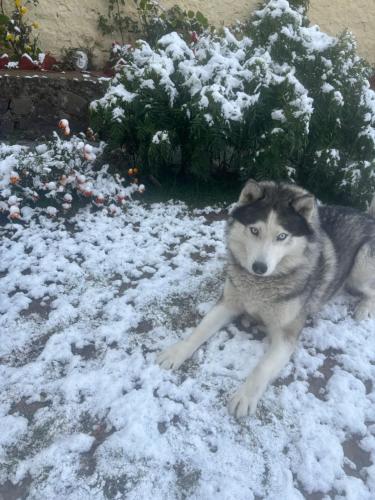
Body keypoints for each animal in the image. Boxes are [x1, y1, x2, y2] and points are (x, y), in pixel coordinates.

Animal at [157, 181, 375, 418]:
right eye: (254, 230)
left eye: (282, 236)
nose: (259, 267)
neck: (260, 286)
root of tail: (368, 215)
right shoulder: (229, 302)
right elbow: (200, 330)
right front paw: (176, 352)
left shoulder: (287, 334)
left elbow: (262, 367)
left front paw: (244, 397)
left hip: (360, 267)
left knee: (370, 290)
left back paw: (364, 309)